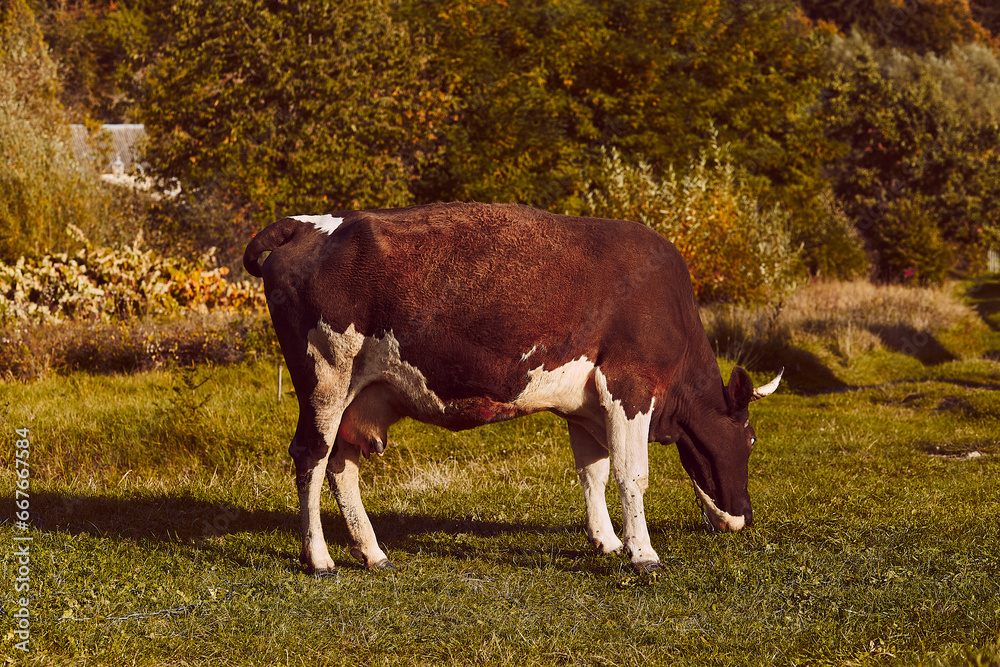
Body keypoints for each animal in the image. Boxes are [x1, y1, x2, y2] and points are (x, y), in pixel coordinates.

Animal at [244, 200, 780, 576]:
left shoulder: (585, 405)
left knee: (341, 464)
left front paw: (606, 541)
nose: (746, 515)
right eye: (751, 439)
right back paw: (319, 558)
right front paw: (642, 553)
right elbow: (632, 475)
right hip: (325, 378)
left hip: (357, 396)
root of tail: (304, 223)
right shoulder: (630, 388)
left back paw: (372, 552)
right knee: (311, 457)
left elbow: (593, 474)